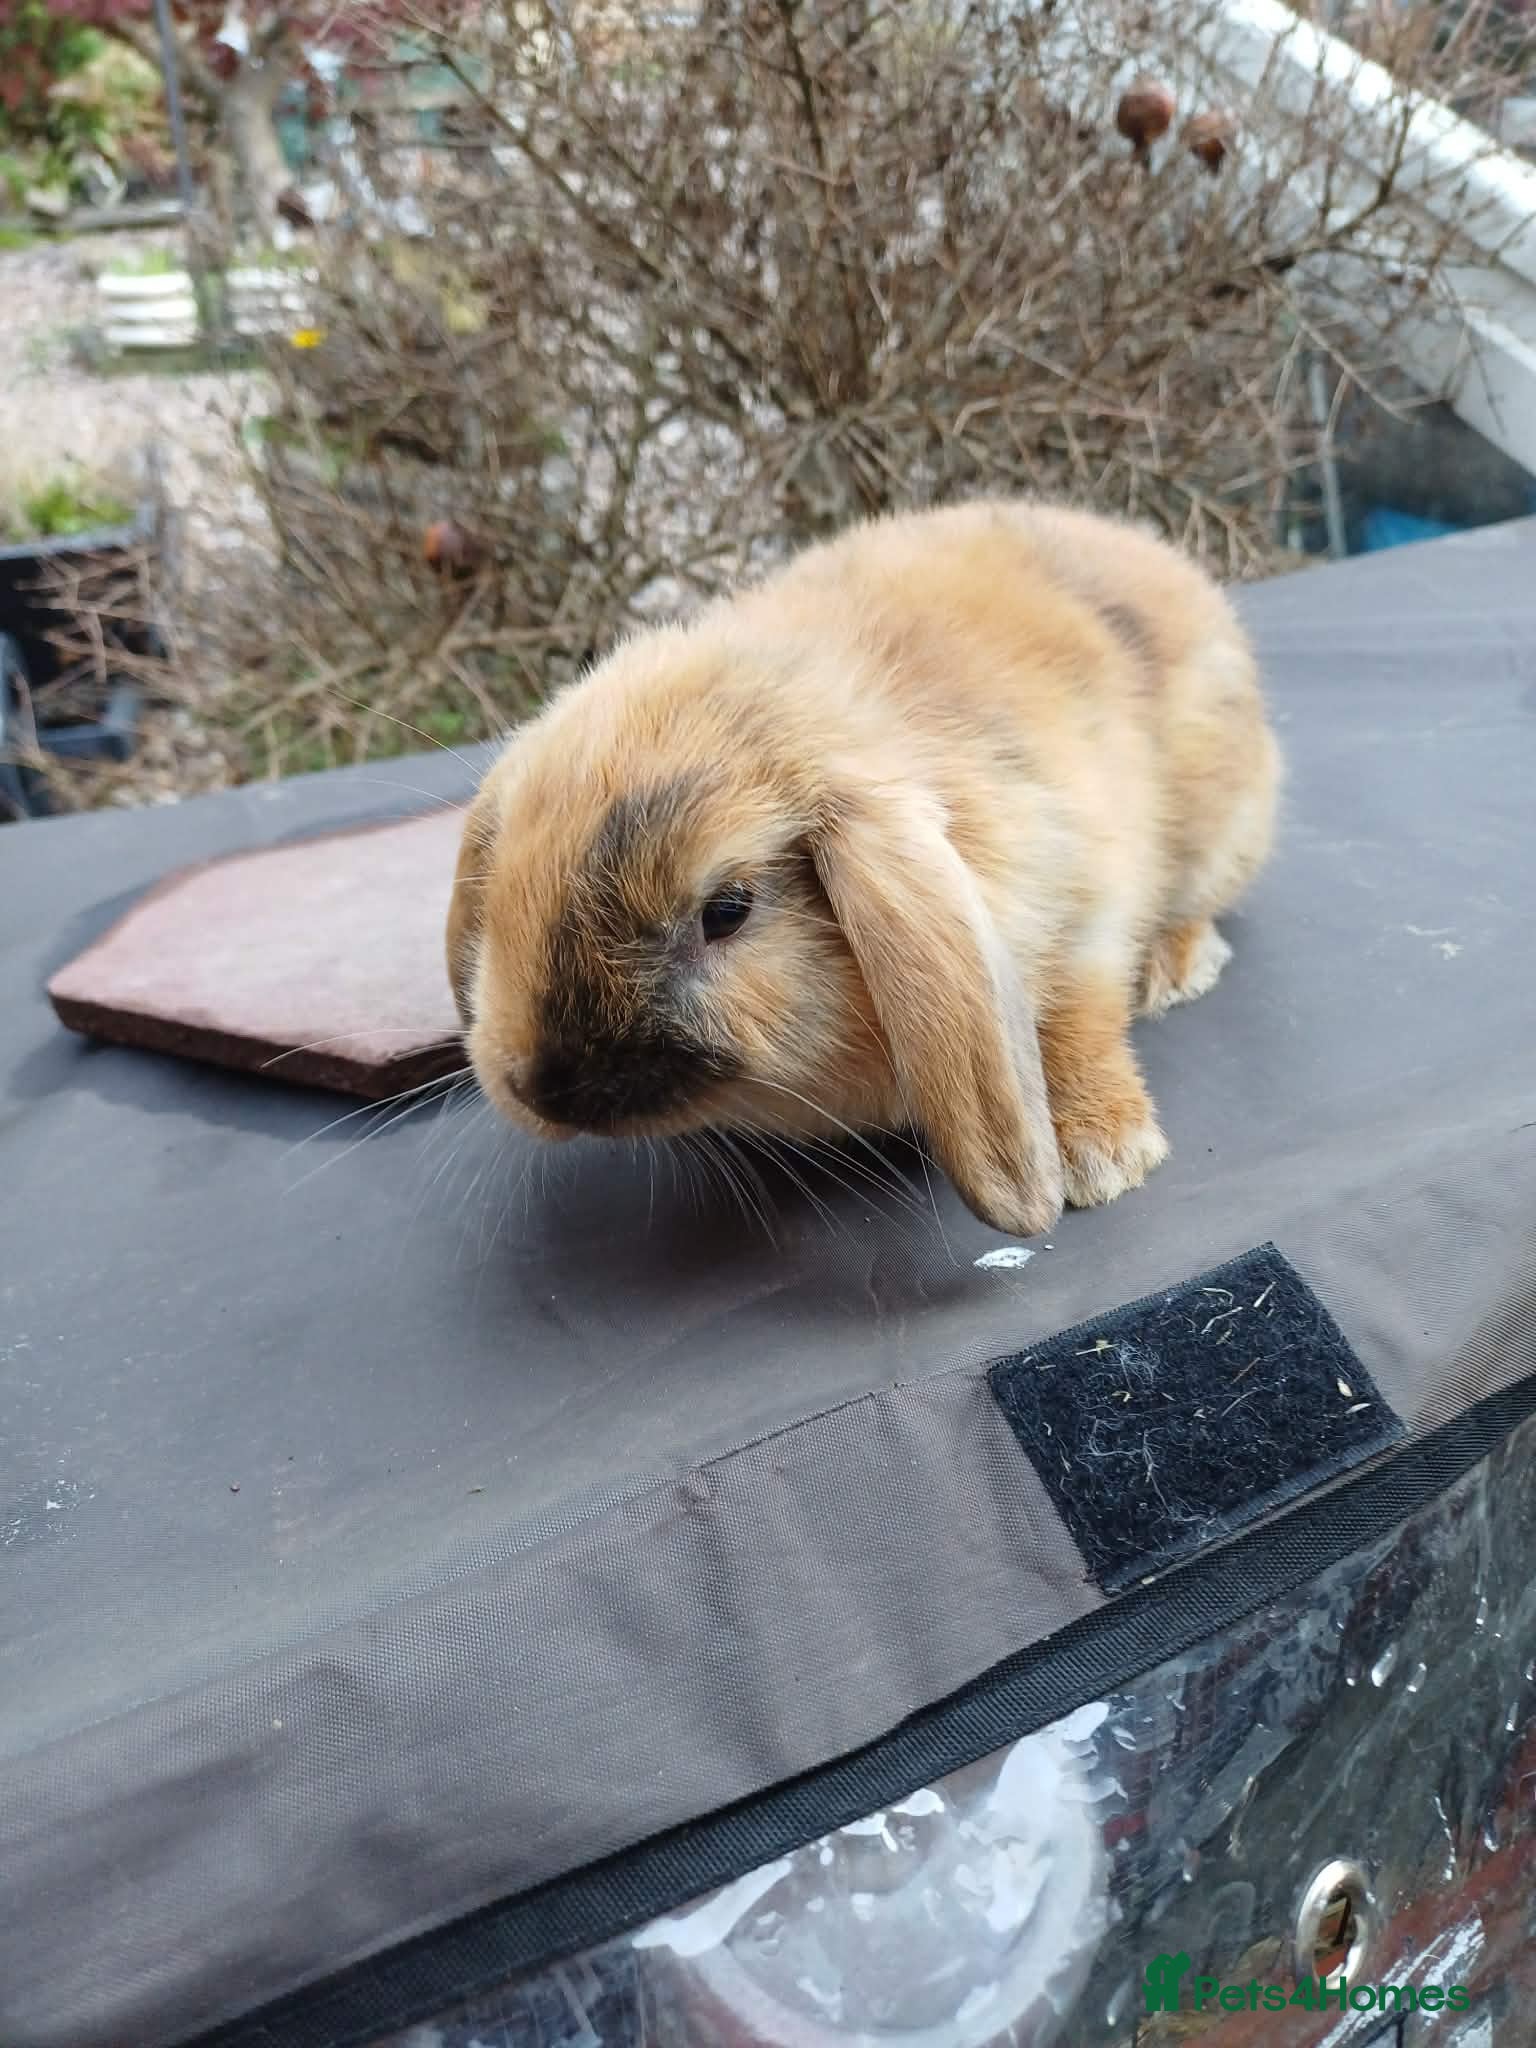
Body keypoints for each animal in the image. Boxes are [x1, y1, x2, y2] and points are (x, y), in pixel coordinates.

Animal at [446, 498, 1281, 1238]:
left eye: (727, 911)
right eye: (505, 893)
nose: (546, 1091)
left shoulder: (1083, 911)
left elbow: (1079, 1025)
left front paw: (1101, 1161)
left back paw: (1176, 970)